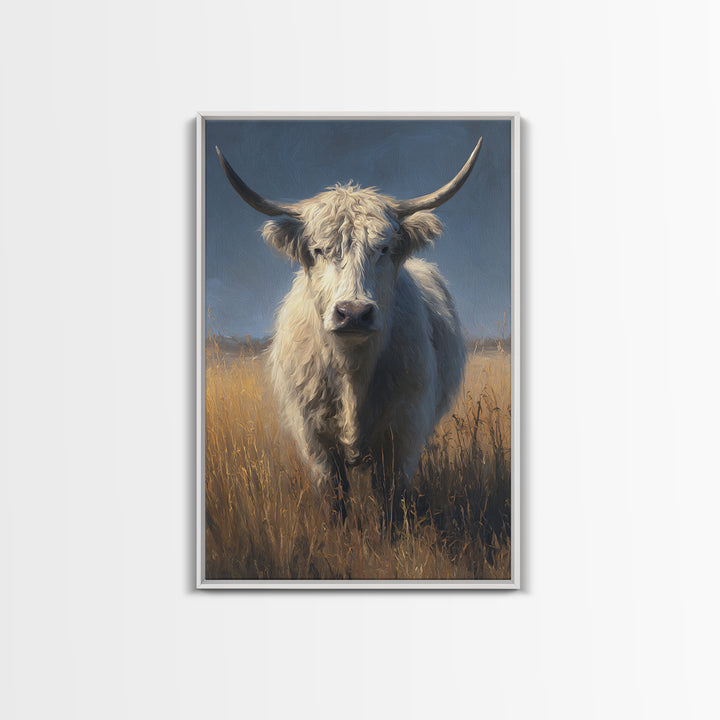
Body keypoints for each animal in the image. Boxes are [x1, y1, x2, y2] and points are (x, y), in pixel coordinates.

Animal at [215, 138, 482, 510]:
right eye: (318, 249)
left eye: (383, 248)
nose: (353, 312)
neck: (352, 370)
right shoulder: (315, 440)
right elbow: (335, 500)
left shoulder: (403, 433)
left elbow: (390, 499)